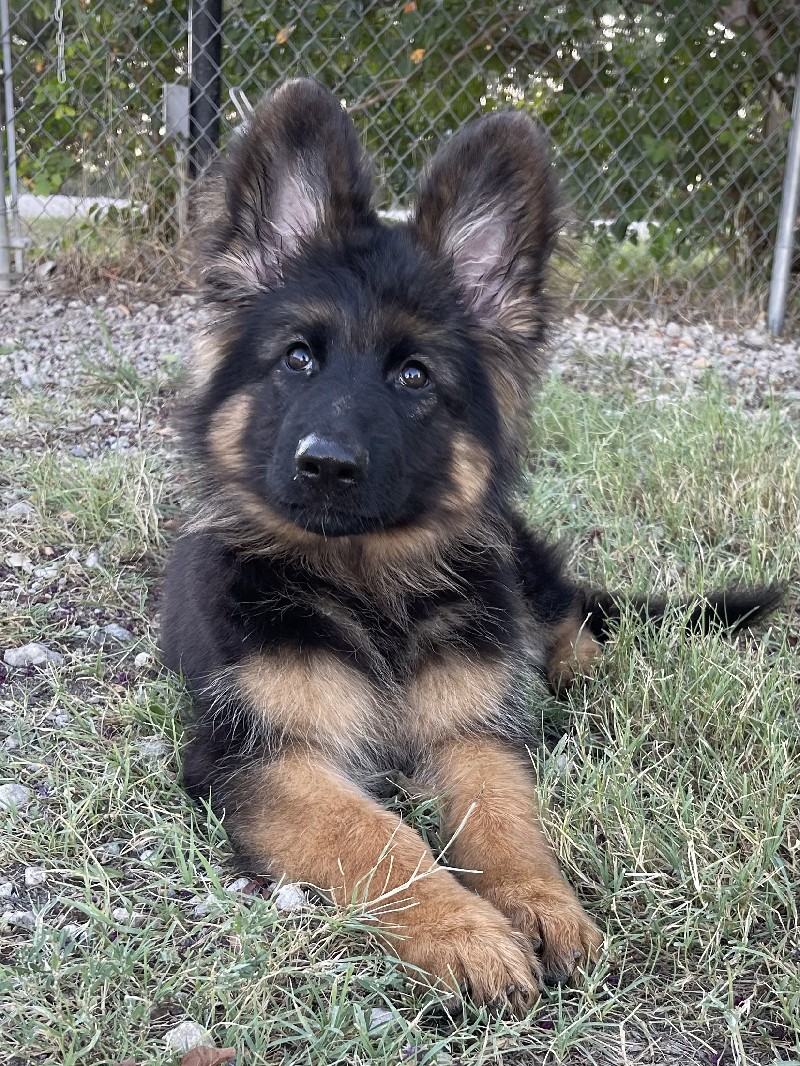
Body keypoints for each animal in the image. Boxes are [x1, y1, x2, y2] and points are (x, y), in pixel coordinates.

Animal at [161, 77, 785, 1014]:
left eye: (414, 376)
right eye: (298, 359)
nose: (326, 466)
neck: (370, 587)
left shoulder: (472, 731)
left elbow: (503, 815)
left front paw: (539, 904)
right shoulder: (260, 754)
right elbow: (375, 833)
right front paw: (464, 932)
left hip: (524, 577)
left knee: (571, 618)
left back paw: (575, 669)